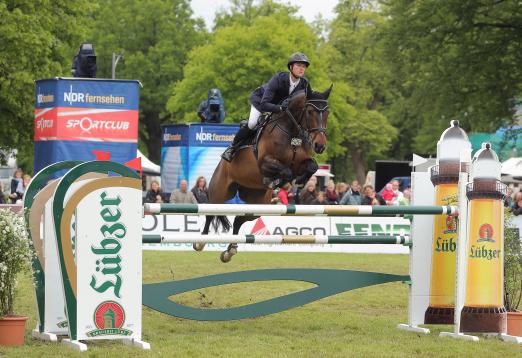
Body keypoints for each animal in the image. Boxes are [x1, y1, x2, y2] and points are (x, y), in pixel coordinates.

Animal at [197, 85, 332, 262]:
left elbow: (312, 166)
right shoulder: (265, 163)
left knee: (239, 219)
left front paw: (297, 181)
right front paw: (282, 182)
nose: (320, 146)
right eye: (310, 111)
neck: (291, 133)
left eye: (327, 112)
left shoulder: (301, 163)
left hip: (258, 203)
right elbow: (286, 171)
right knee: (210, 212)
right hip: (220, 191)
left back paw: (230, 250)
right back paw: (200, 242)